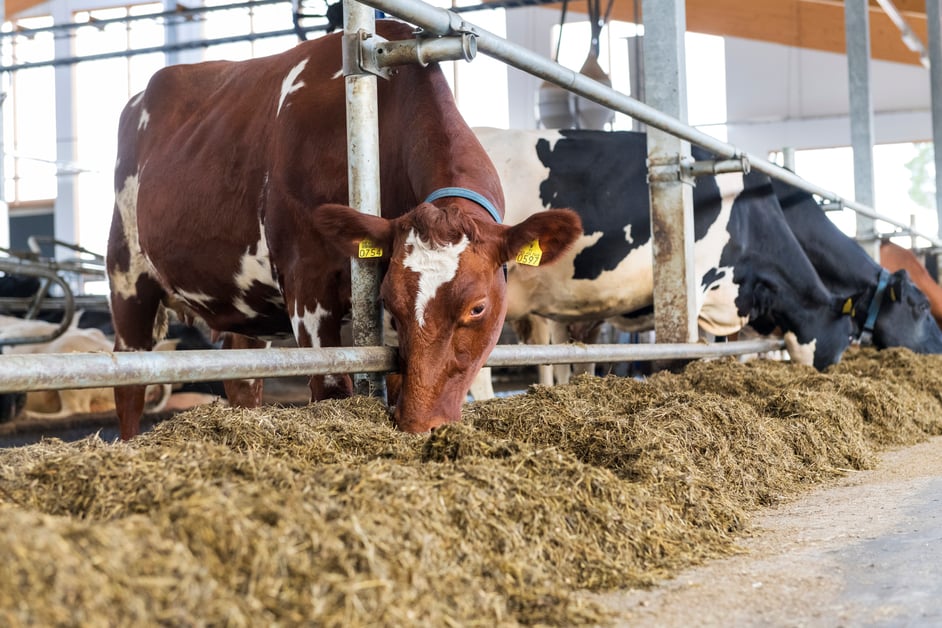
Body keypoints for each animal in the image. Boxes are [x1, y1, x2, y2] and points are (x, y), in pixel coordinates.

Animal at [110, 20, 584, 442]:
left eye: (478, 308)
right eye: (389, 302)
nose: (421, 425)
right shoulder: (308, 281)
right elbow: (333, 388)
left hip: (245, 306)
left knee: (243, 379)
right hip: (128, 279)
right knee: (130, 381)